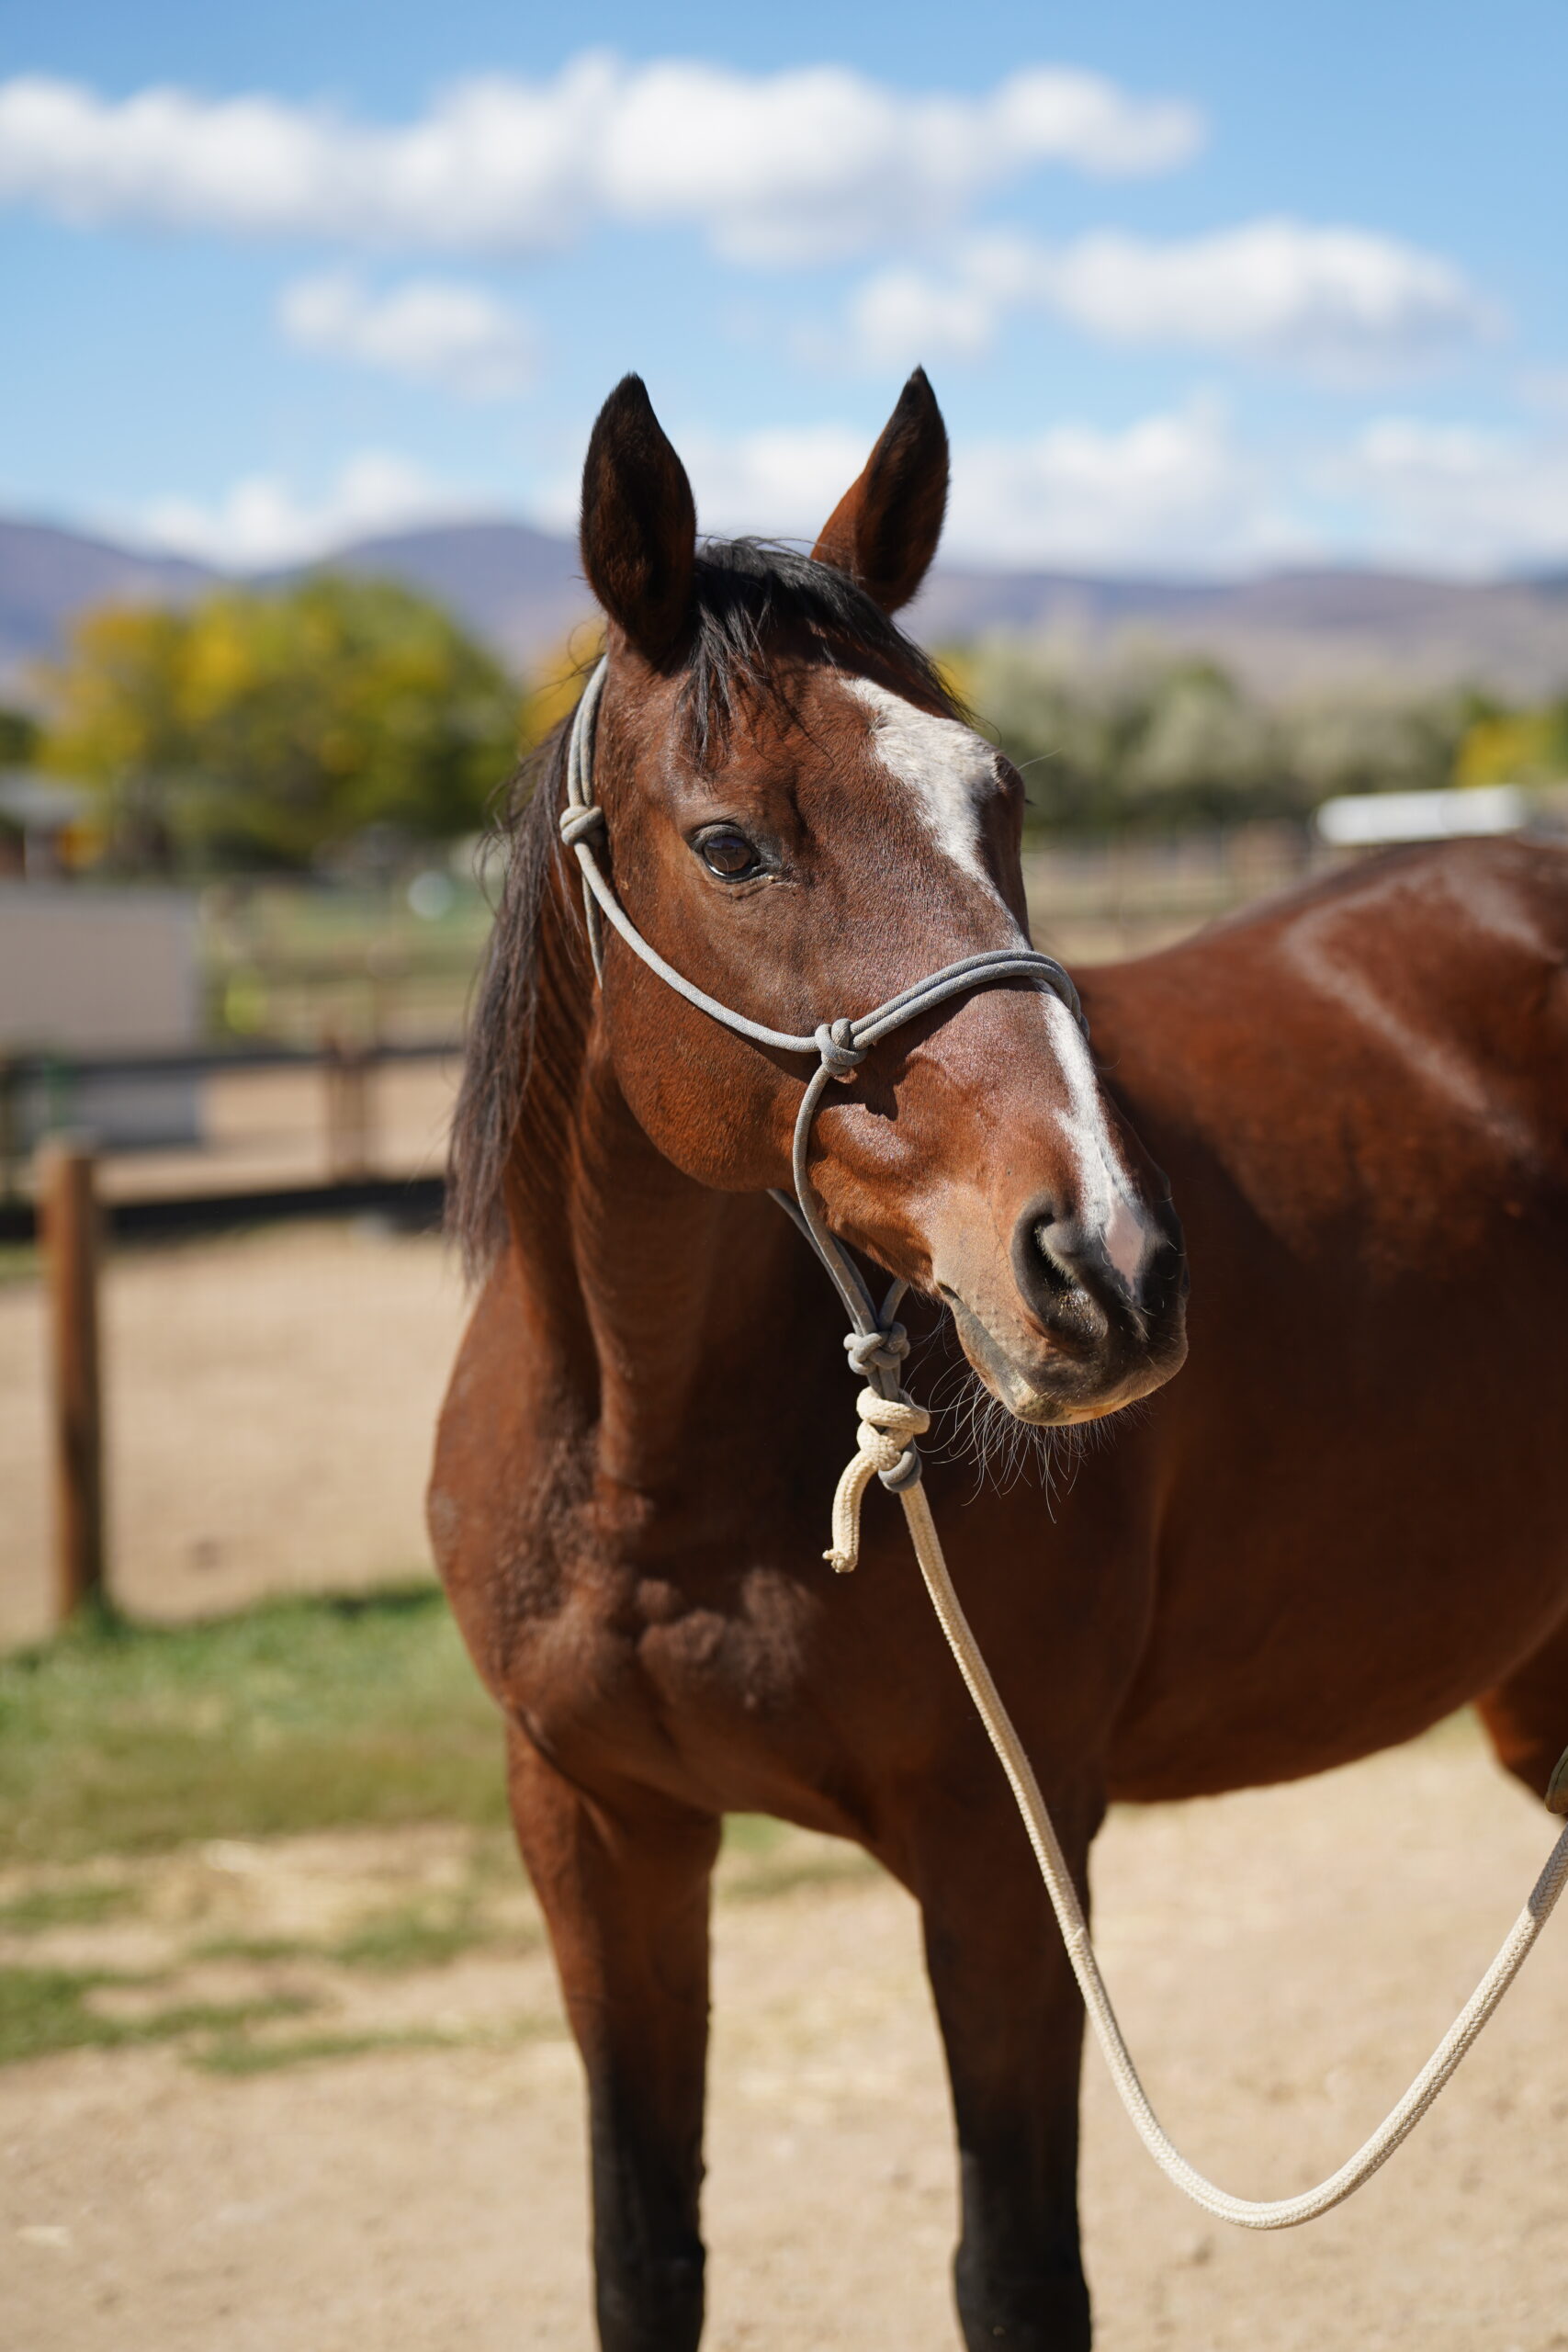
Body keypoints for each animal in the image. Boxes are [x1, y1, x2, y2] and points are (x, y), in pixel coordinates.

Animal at [431, 368, 1568, 2352]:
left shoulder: (1004, 1852)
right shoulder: (593, 1828)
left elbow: (1014, 2272)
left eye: (1002, 798)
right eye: (731, 842)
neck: (649, 1455)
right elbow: (644, 2255)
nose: (1104, 1259)